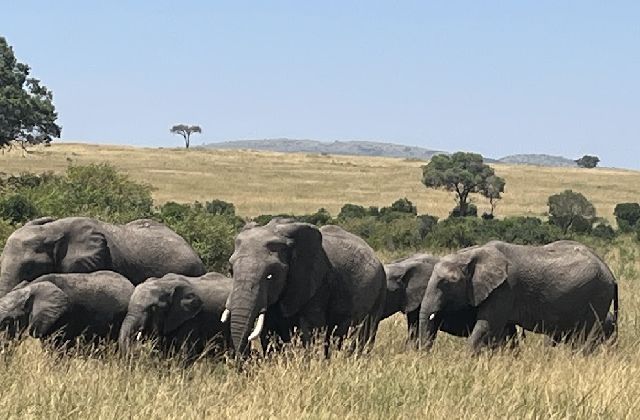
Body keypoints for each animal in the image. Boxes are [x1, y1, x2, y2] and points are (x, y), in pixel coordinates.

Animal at [225, 219, 386, 356]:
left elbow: (309, 331)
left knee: (365, 332)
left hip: (379, 291)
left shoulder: (318, 283)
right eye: (231, 271)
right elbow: (269, 333)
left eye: (270, 276)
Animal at [418, 240, 619, 353]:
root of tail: (611, 274)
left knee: (586, 335)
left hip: (598, 295)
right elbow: (502, 332)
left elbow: (486, 326)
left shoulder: (505, 289)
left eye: (446, 283)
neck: (472, 253)